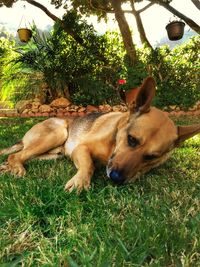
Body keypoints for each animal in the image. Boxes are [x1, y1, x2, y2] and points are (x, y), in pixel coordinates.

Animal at [0, 77, 200, 193]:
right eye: (132, 139)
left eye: (151, 156)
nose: (116, 178)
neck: (113, 143)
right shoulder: (81, 148)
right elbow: (88, 164)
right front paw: (80, 181)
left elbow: (136, 173)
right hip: (58, 132)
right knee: (16, 155)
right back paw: (15, 167)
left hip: (53, 154)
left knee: (19, 156)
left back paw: (8, 167)